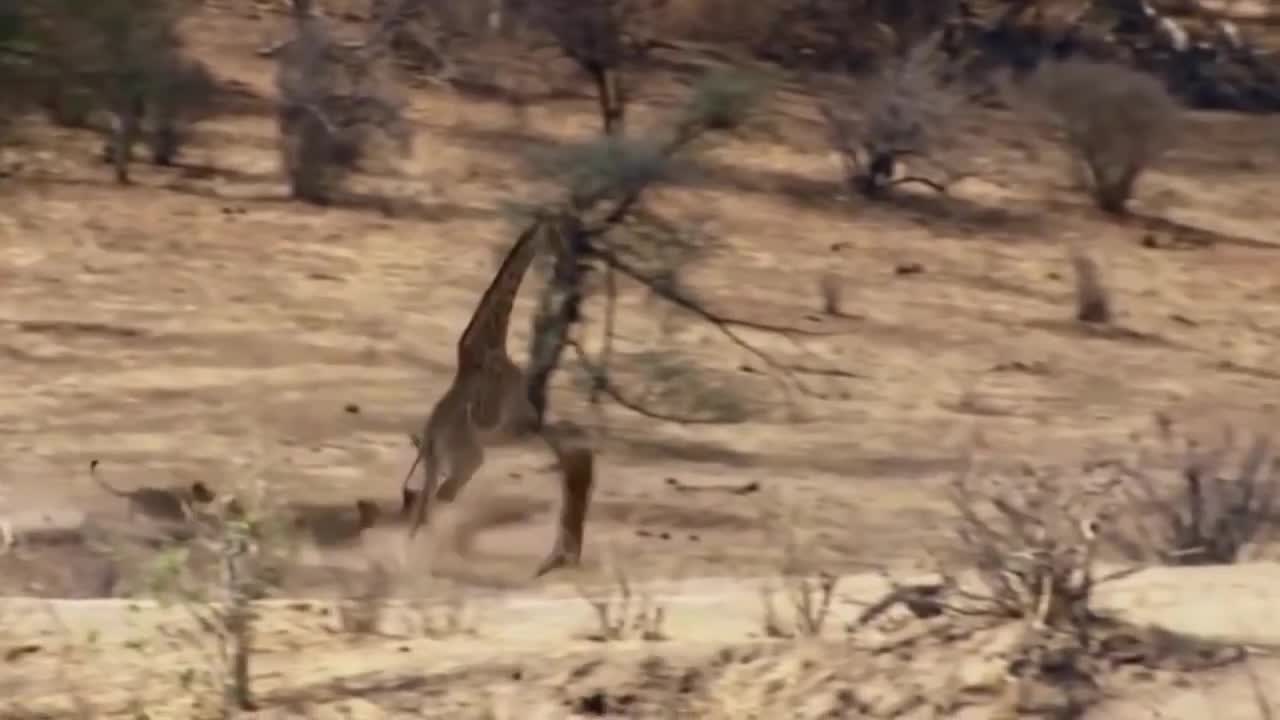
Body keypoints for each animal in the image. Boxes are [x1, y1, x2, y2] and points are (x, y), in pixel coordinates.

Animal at [401, 213, 596, 576]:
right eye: (557, 232)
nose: (569, 259)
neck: (491, 341)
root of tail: (430, 438)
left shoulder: (522, 426)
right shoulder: (519, 425)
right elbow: (566, 446)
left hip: (440, 465)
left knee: (423, 507)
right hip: (468, 461)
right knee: (438, 502)